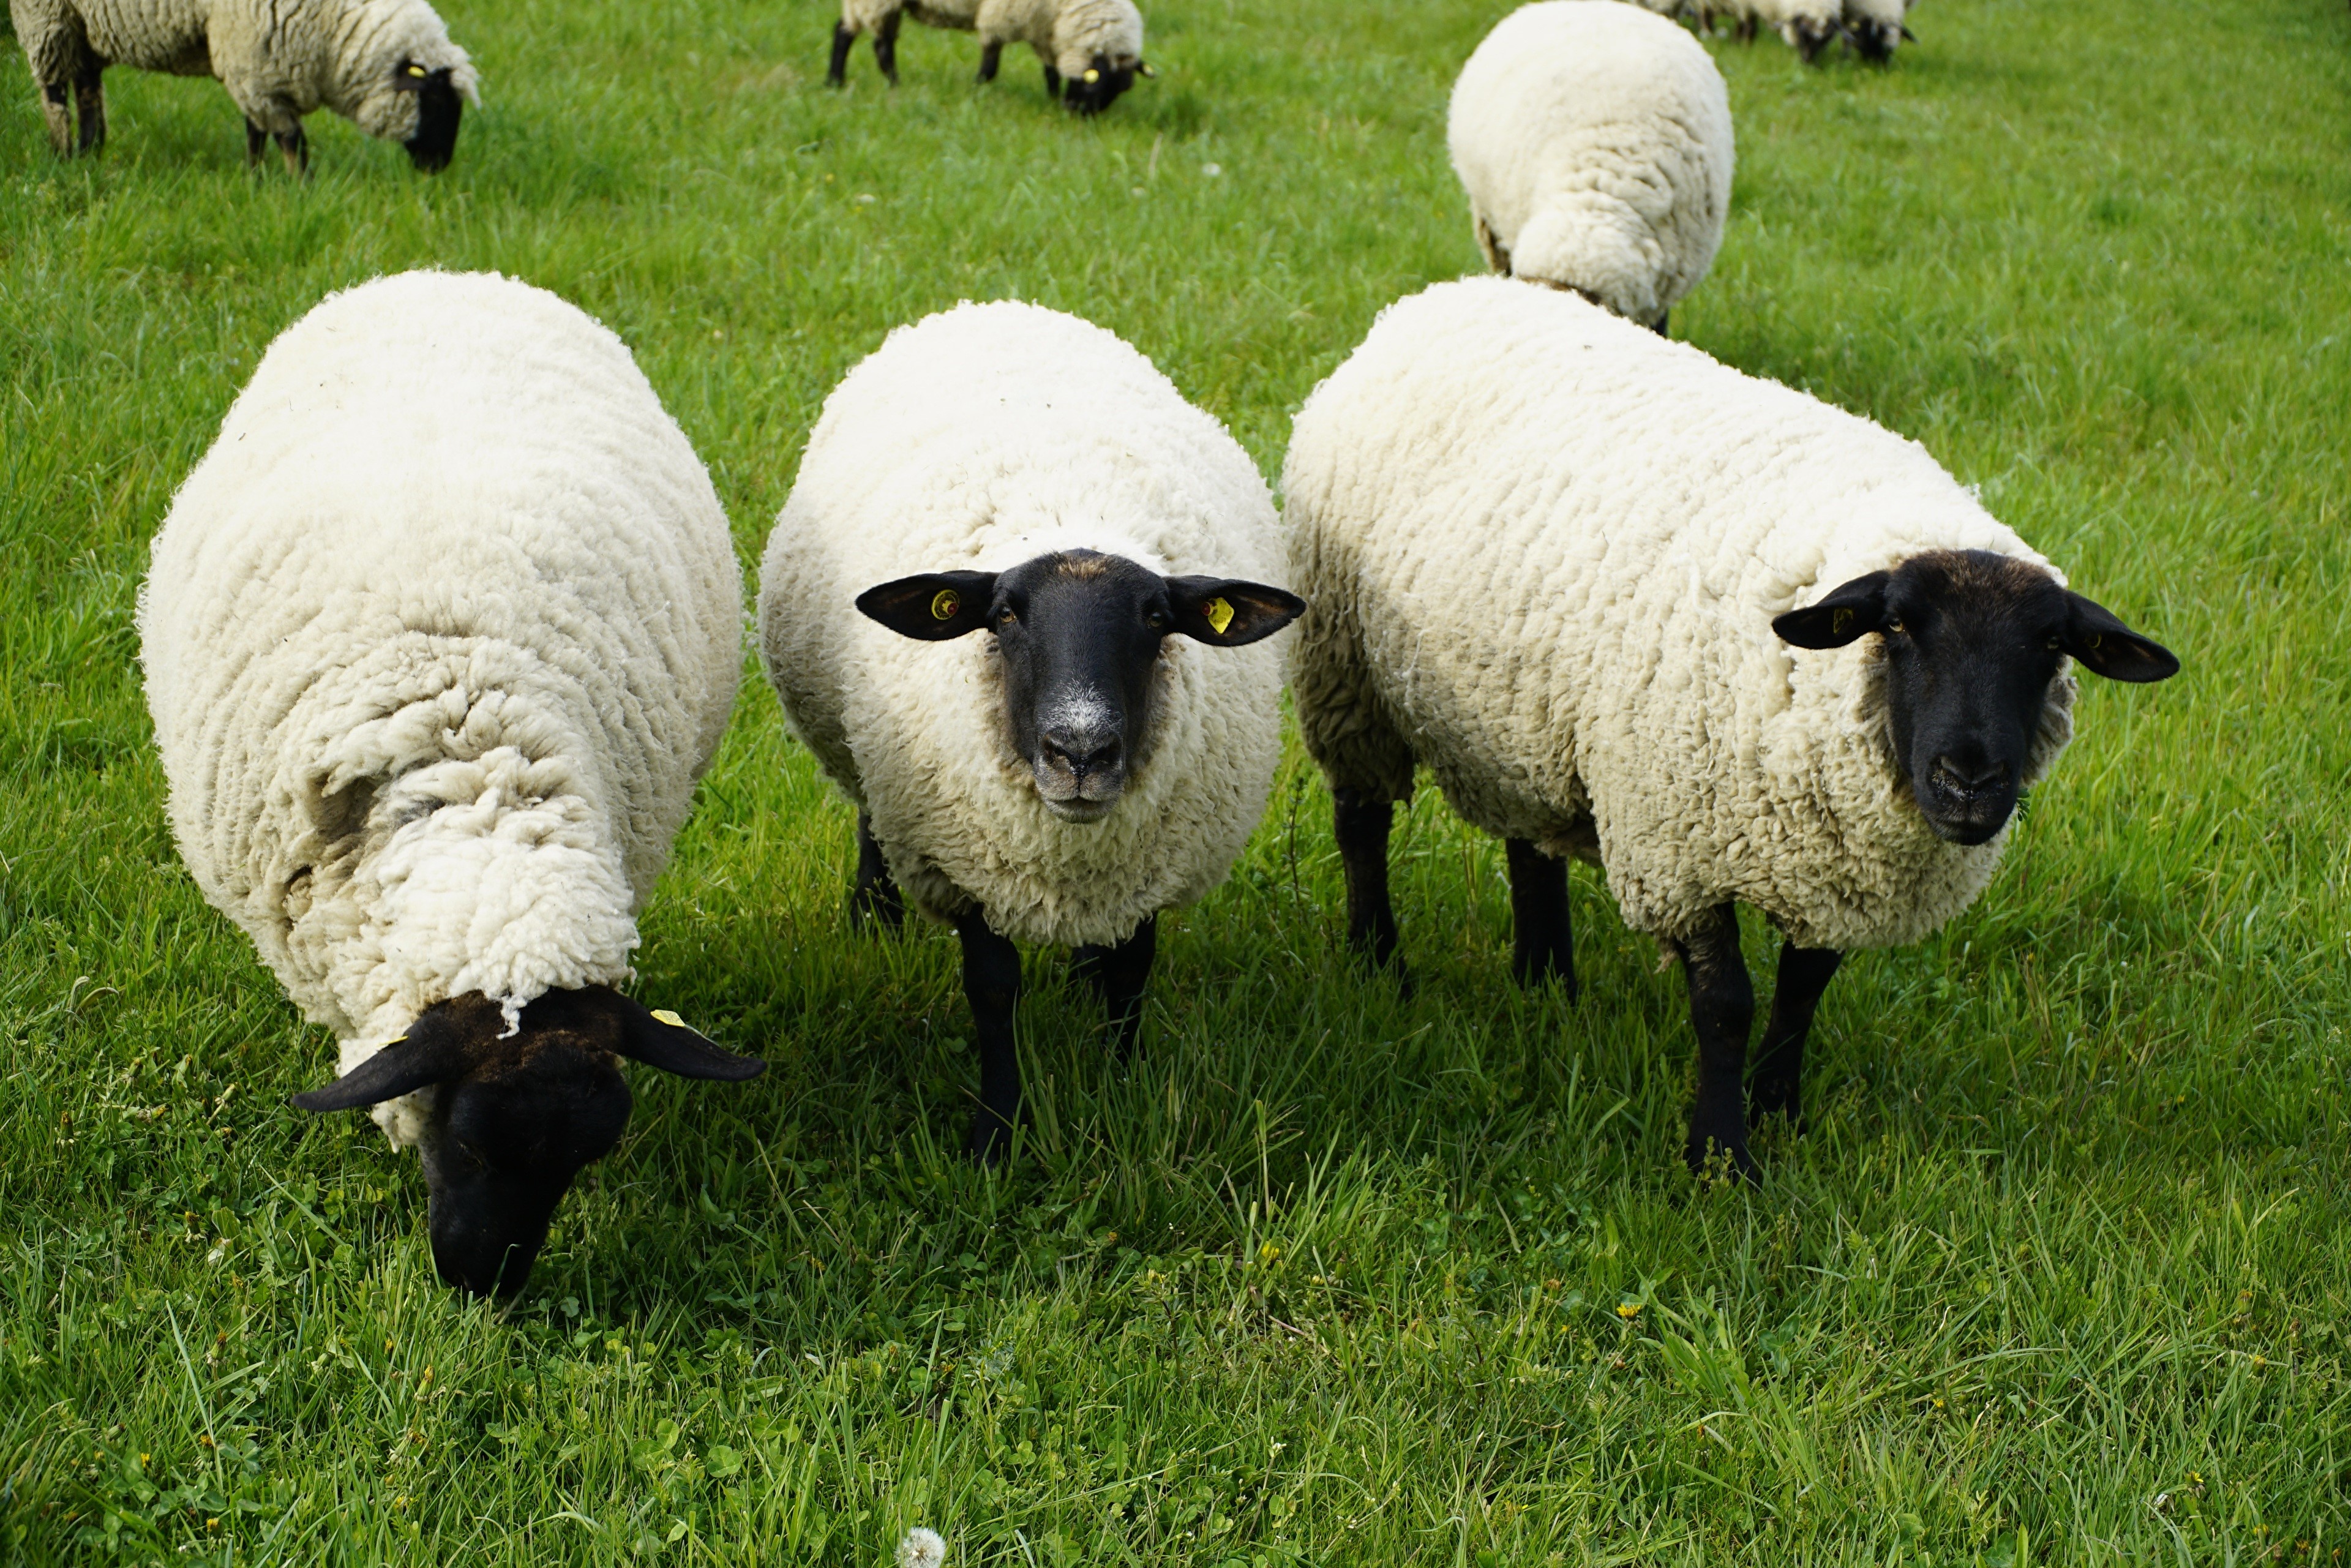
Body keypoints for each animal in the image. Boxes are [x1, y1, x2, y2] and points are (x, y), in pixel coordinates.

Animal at [8, 0, 478, 171]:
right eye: (437, 101)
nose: (438, 168)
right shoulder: (249, 54)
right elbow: (290, 138)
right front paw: (300, 191)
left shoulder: (255, 64)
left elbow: (256, 131)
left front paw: (255, 179)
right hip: (44, 14)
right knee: (54, 92)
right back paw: (62, 154)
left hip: (81, 22)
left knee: (87, 88)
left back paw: (89, 153)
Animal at [758, 299, 1303, 1160]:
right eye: (1006, 614)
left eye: (1157, 618)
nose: (1080, 750)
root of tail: (999, 304)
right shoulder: (963, 861)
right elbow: (992, 988)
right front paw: (997, 1133)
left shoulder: (1146, 864)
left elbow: (1131, 972)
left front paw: (1121, 1088)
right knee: (869, 817)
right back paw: (873, 916)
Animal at [827, 0, 1153, 114]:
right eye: (1094, 84)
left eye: (1119, 91)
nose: (1075, 113)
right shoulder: (1000, 17)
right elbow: (990, 67)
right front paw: (975, 93)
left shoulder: (1043, 29)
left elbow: (1050, 71)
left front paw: (1050, 98)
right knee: (881, 47)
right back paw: (894, 85)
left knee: (844, 32)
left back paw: (834, 82)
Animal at [1282, 276, 2179, 1179]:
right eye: (1896, 626)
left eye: (2052, 645)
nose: (1969, 781)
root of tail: (1441, 297)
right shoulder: (1678, 846)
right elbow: (1726, 1004)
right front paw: (1720, 1155)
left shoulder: (1835, 857)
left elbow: (1802, 992)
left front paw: (1781, 1110)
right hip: (1347, 676)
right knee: (1362, 823)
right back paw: (1379, 964)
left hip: (1521, 716)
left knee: (1530, 844)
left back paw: (1546, 983)